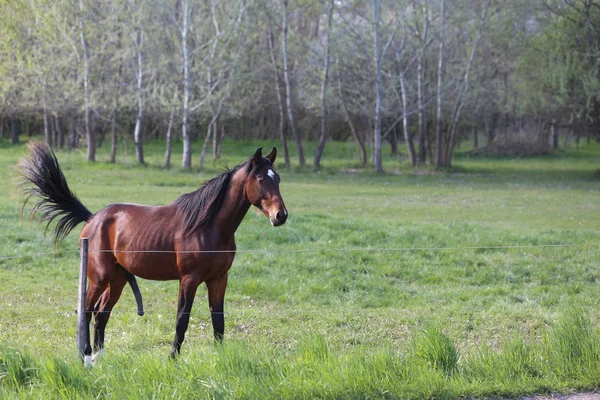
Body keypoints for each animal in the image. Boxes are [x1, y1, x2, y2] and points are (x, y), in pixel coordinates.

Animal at [19, 142, 288, 364]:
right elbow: (182, 320)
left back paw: (99, 357)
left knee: (102, 313)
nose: (280, 215)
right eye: (261, 179)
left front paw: (220, 358)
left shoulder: (218, 279)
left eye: (278, 178)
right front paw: (172, 359)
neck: (207, 226)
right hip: (99, 276)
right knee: (86, 310)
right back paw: (86, 359)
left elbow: (218, 321)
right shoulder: (189, 279)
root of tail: (93, 218)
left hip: (118, 278)